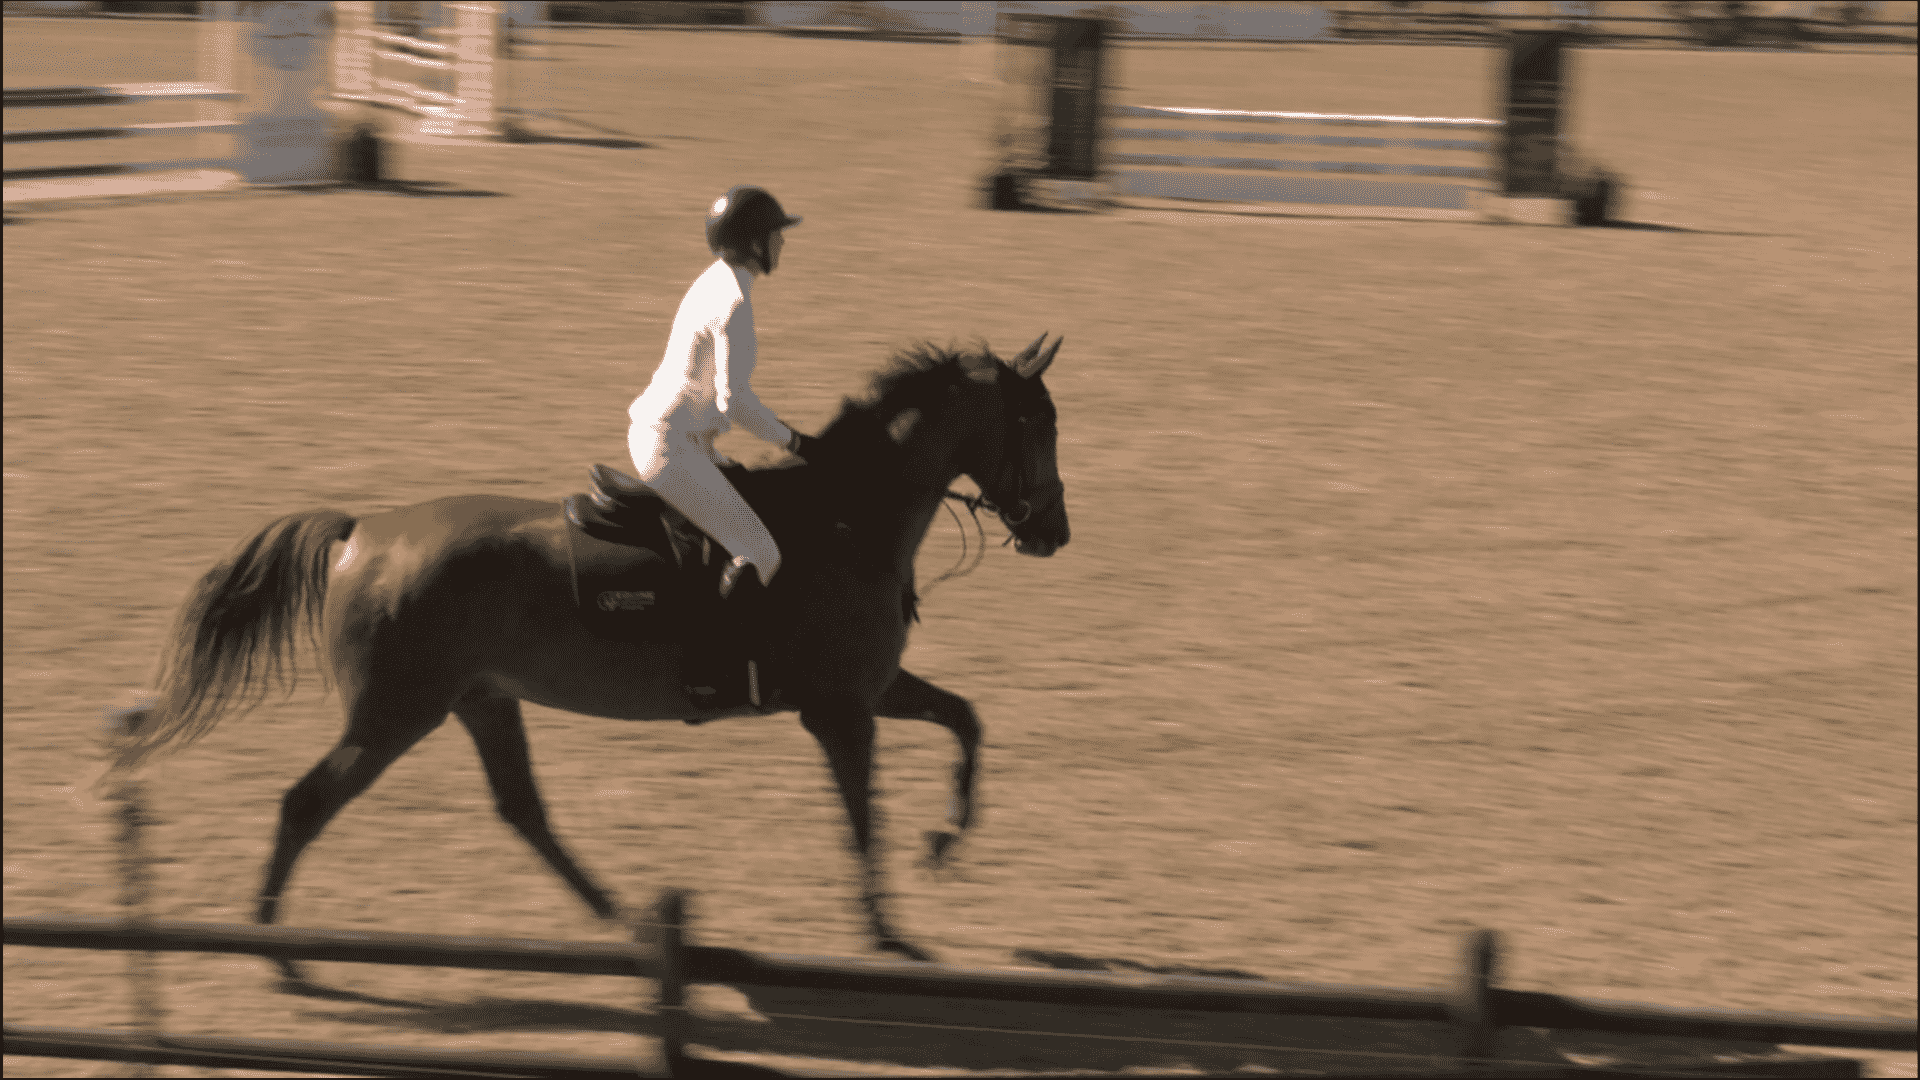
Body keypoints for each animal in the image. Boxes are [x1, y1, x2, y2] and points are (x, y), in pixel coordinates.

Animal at [103, 334, 1070, 973]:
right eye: (1037, 424)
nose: (1054, 532)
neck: (846, 520)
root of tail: (361, 531)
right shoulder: (840, 713)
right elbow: (864, 820)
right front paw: (886, 931)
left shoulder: (871, 689)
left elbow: (966, 722)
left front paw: (944, 841)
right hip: (394, 715)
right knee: (307, 803)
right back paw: (273, 944)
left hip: (479, 700)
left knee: (522, 810)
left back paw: (625, 920)